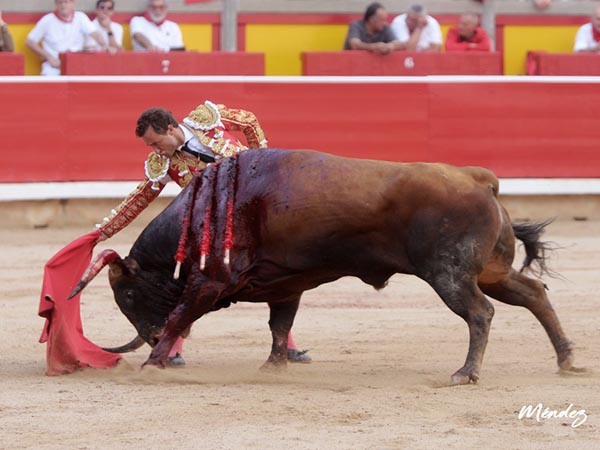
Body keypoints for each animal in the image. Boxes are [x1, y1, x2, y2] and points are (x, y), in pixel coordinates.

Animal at [70, 149, 576, 384]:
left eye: (127, 294)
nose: (150, 337)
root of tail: (478, 179)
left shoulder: (208, 282)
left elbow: (180, 314)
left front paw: (152, 363)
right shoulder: (285, 284)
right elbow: (279, 325)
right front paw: (274, 366)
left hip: (450, 275)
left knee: (479, 313)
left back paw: (466, 373)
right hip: (490, 271)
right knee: (533, 294)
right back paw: (567, 359)